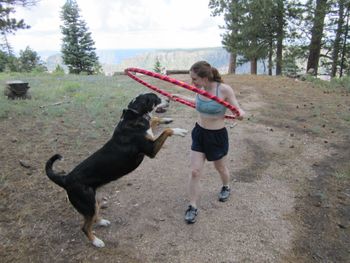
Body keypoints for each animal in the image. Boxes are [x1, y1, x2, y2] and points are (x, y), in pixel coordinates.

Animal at [45, 94, 187, 249]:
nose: (169, 99)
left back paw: (101, 222)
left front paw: (167, 119)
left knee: (93, 217)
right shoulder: (151, 150)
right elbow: (167, 131)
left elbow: (154, 120)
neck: (133, 117)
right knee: (85, 227)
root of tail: (66, 179)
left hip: (94, 201)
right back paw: (96, 241)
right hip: (87, 204)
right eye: (155, 98)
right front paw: (179, 130)